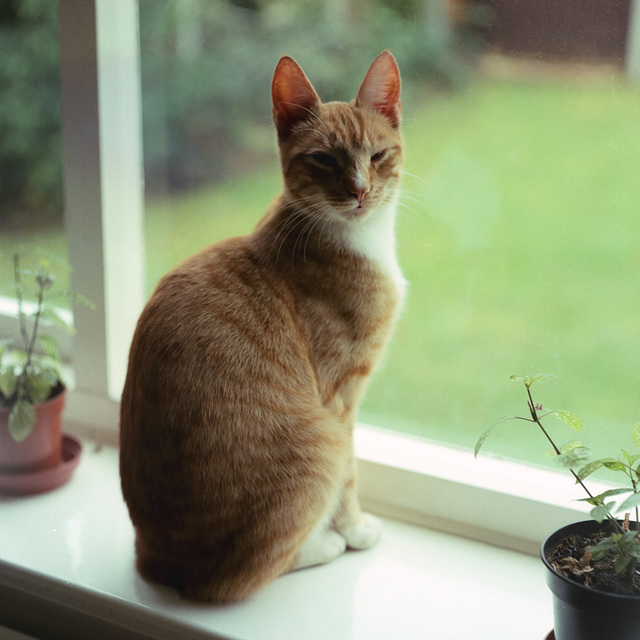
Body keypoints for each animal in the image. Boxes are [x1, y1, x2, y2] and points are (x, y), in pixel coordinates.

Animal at [119, 51, 404, 604]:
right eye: (324, 159)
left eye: (378, 155)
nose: (360, 191)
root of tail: (158, 562)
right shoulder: (340, 397)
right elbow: (350, 476)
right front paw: (354, 529)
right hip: (319, 442)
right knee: (242, 575)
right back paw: (322, 546)